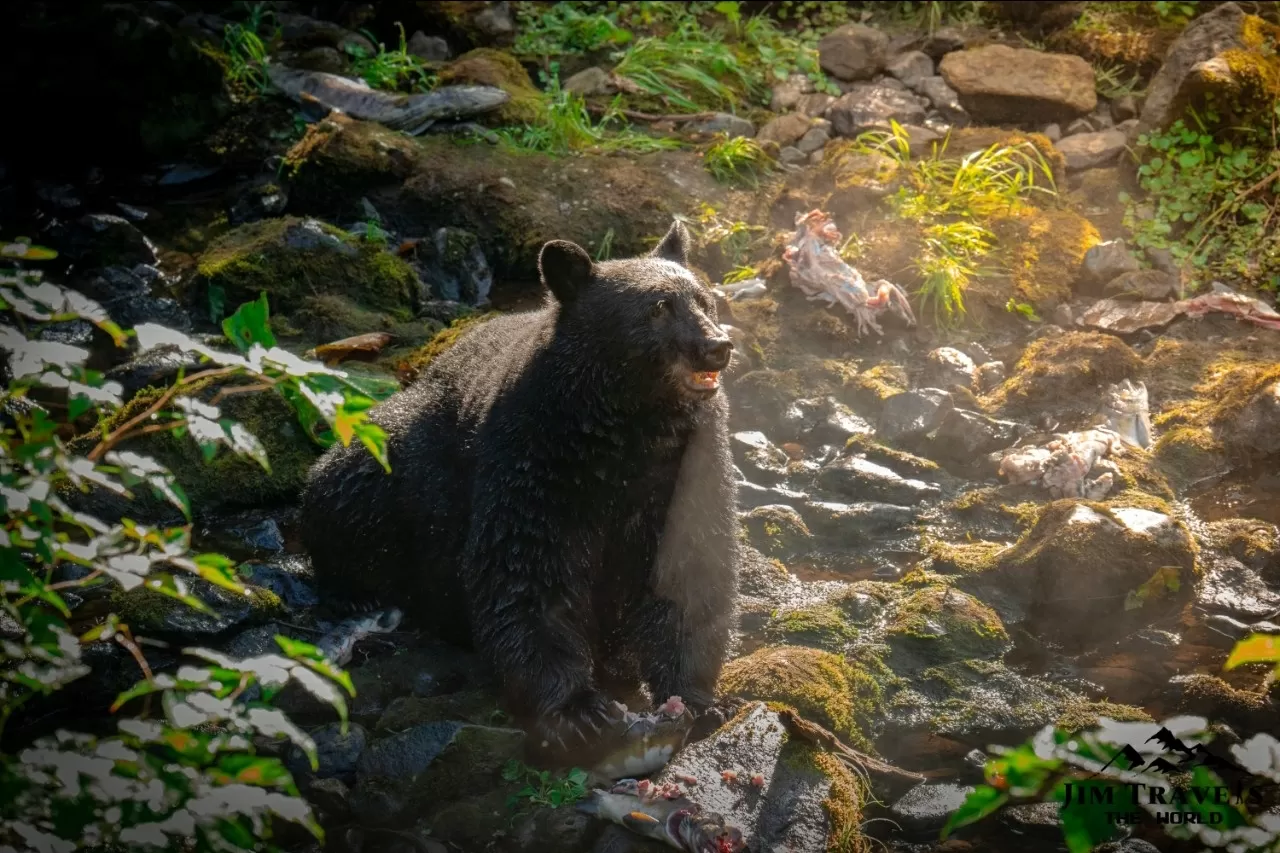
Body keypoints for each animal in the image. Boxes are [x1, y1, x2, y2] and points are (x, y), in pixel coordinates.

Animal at [299, 222, 742, 747]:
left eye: (705, 300)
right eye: (658, 307)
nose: (717, 346)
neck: (626, 429)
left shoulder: (685, 468)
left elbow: (689, 571)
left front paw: (696, 700)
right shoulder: (536, 454)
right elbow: (526, 569)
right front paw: (577, 709)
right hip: (398, 459)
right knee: (348, 487)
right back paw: (351, 588)